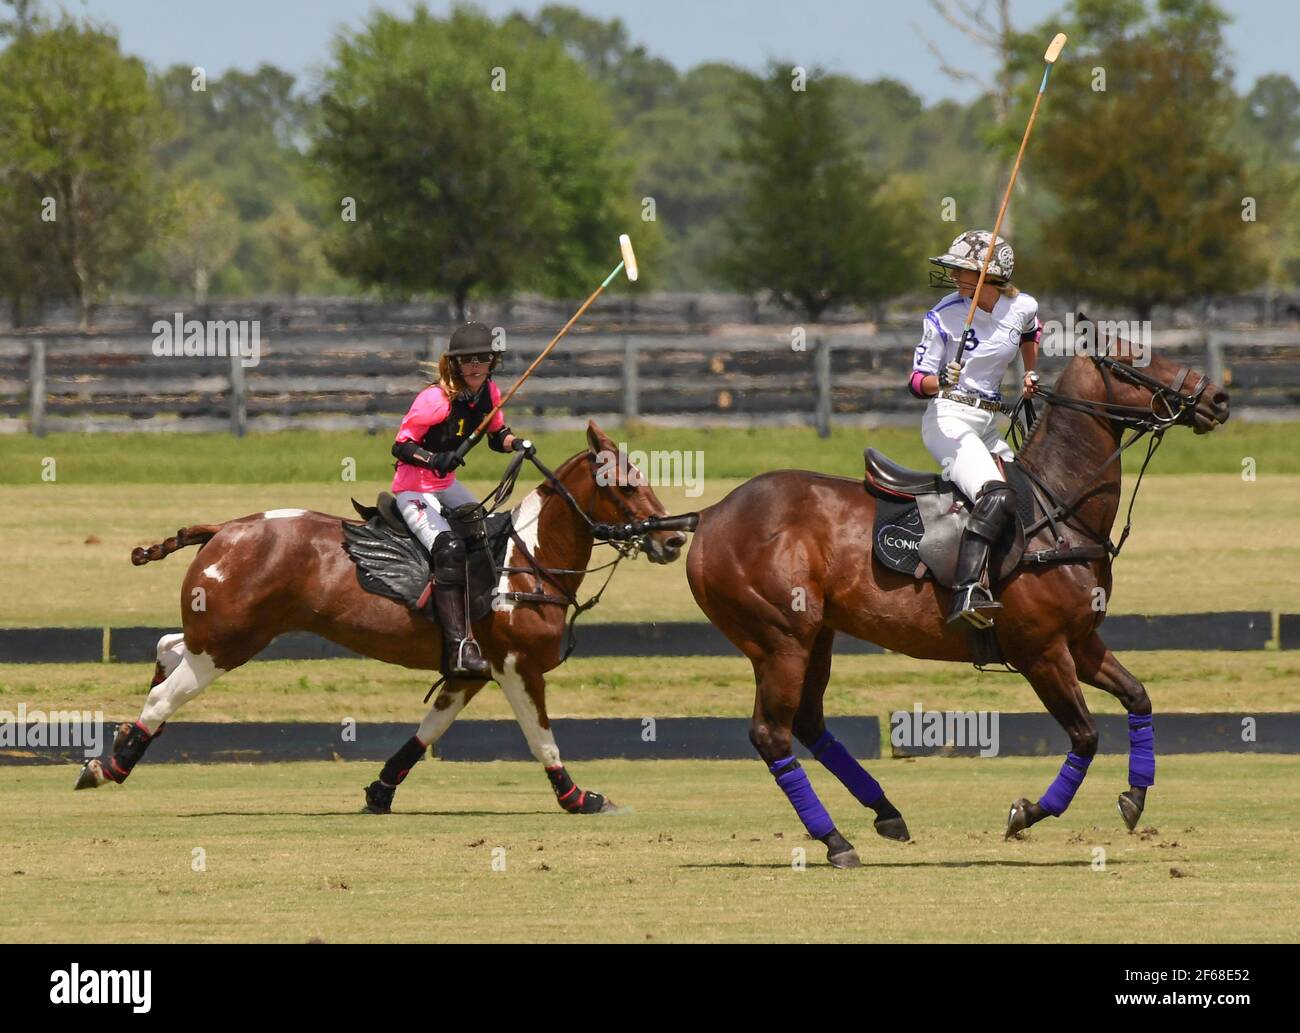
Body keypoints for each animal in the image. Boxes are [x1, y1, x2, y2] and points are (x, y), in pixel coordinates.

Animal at [73, 420, 691, 816]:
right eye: (625, 482)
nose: (674, 539)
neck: (530, 556)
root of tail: (223, 529)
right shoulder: (518, 667)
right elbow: (543, 740)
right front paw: (579, 798)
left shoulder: (471, 669)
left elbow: (429, 730)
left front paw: (380, 791)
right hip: (230, 642)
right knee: (166, 694)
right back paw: (111, 764)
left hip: (221, 633)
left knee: (167, 646)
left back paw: (122, 740)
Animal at [691, 343, 1227, 867]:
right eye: (1134, 358)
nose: (1217, 398)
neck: (1059, 509)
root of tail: (711, 513)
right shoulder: (1042, 652)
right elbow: (1086, 735)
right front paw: (1027, 812)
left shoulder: (1081, 641)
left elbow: (1138, 696)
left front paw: (1134, 796)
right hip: (780, 640)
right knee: (772, 734)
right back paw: (836, 841)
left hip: (813, 637)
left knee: (805, 722)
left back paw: (885, 813)